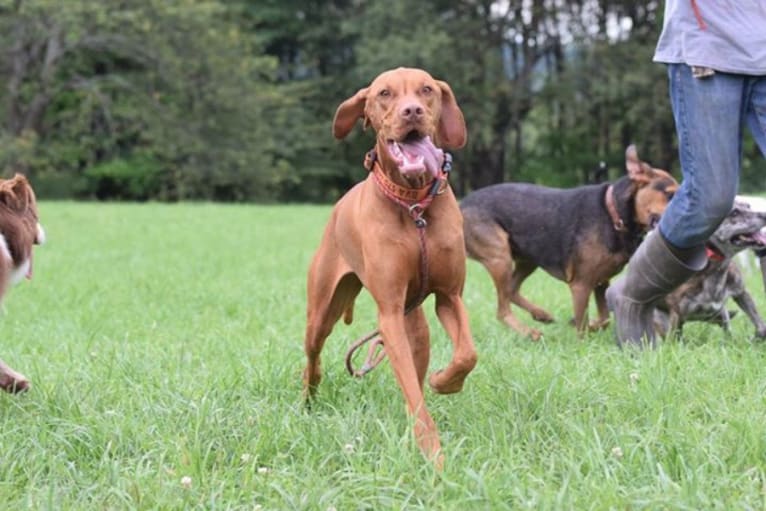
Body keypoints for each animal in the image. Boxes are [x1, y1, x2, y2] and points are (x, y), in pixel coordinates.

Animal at [304, 66, 476, 466]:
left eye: (426, 90)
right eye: (385, 94)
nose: (412, 111)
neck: (414, 205)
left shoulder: (450, 296)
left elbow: (467, 353)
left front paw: (445, 382)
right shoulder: (390, 313)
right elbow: (413, 392)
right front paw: (433, 455)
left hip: (417, 324)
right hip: (322, 309)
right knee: (313, 353)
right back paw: (309, 396)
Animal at [462, 145, 680, 340]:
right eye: (670, 193)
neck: (613, 214)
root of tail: (461, 204)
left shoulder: (601, 281)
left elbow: (604, 318)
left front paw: (590, 326)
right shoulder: (581, 284)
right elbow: (582, 325)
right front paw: (583, 342)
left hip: (526, 260)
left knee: (511, 291)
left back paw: (541, 314)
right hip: (500, 257)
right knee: (502, 309)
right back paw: (530, 332)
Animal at [656, 200, 766, 340]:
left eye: (748, 206)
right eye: (734, 212)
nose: (765, 215)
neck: (716, 268)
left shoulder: (741, 292)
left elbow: (760, 325)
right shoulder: (676, 313)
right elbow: (674, 341)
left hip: (721, 315)